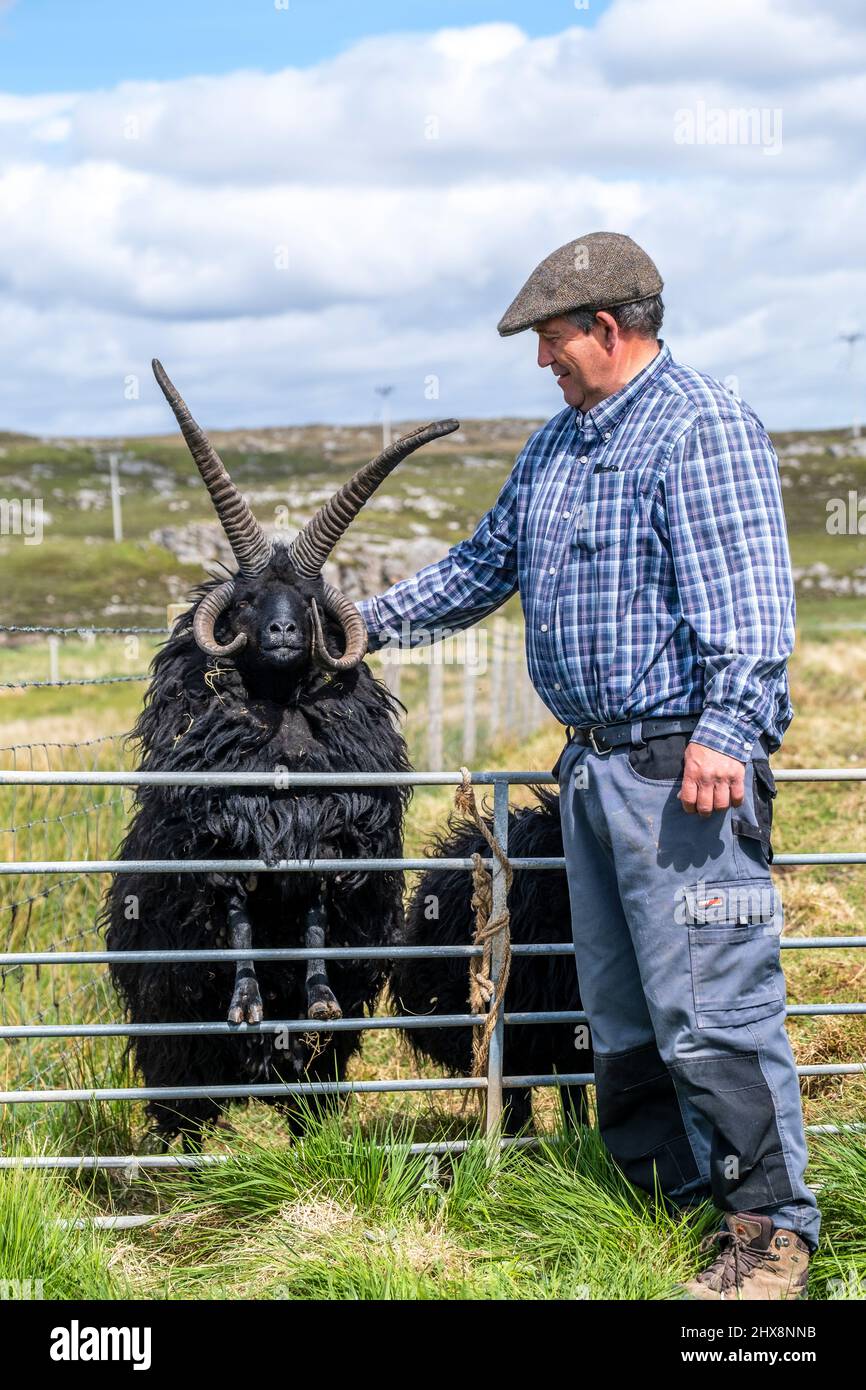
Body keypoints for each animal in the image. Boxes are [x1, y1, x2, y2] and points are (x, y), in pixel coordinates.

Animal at [103, 358, 461, 1139]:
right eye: (246, 600)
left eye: (308, 601)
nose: (283, 633)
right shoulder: (223, 838)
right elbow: (239, 916)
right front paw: (246, 1005)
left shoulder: (330, 838)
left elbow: (316, 914)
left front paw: (318, 999)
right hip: (172, 1051)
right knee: (182, 1114)